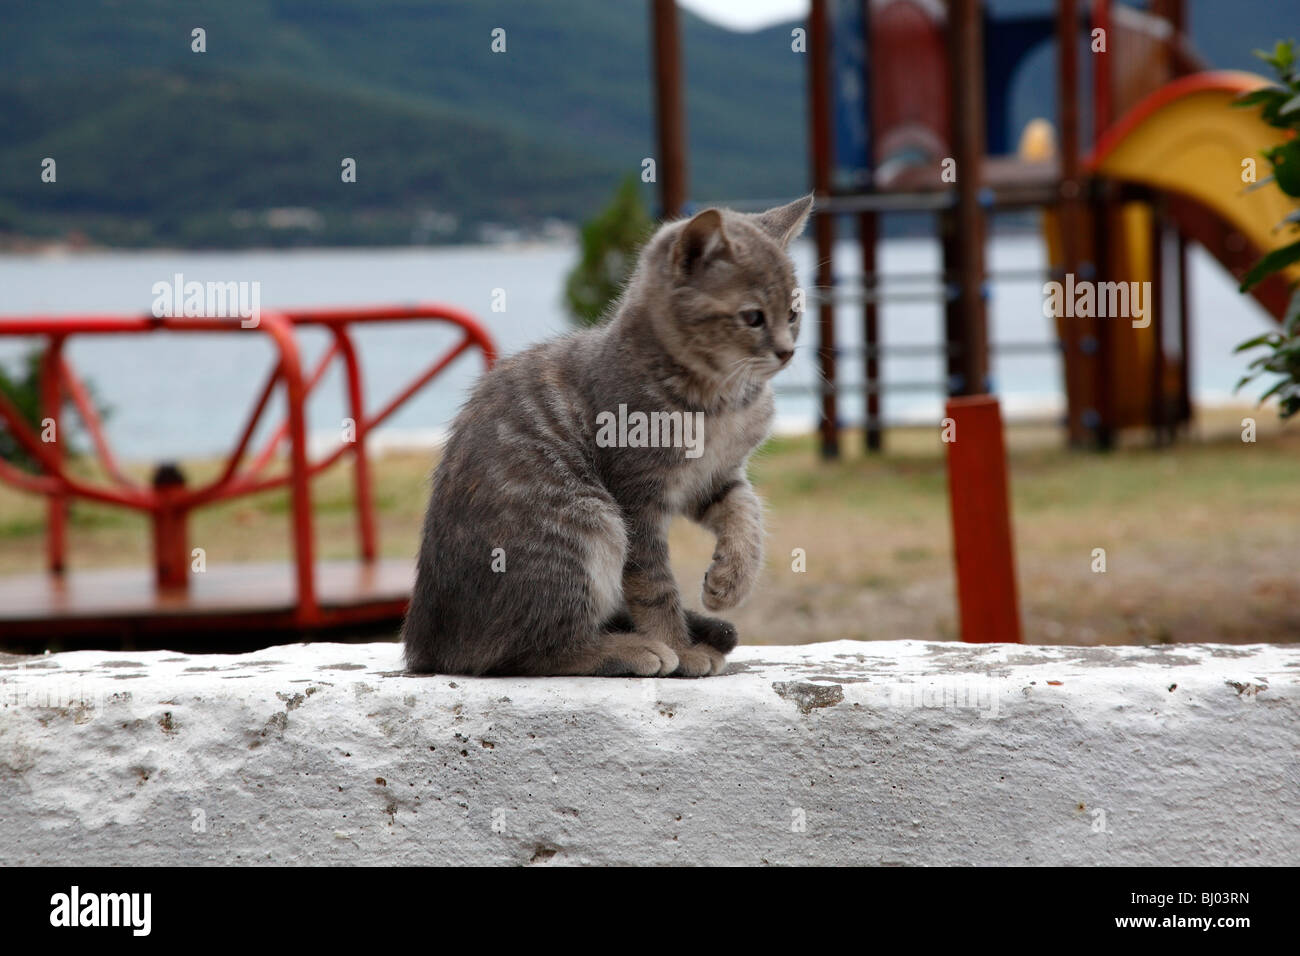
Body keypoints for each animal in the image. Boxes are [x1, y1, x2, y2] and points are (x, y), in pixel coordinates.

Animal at [403, 195, 811, 676]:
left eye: (794, 313)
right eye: (752, 317)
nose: (787, 351)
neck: (721, 400)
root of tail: (427, 644)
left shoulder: (714, 478)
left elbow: (748, 511)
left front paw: (733, 578)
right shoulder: (636, 497)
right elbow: (654, 586)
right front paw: (680, 645)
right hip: (587, 522)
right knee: (528, 651)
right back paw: (629, 648)